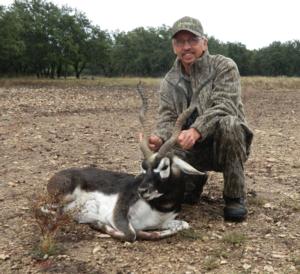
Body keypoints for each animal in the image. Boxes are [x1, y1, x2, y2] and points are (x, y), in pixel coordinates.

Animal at [45, 76, 213, 241]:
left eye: (164, 166)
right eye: (143, 167)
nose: (142, 190)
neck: (159, 207)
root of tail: (57, 175)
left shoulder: (165, 222)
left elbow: (182, 225)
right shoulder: (118, 213)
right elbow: (132, 234)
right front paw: (99, 224)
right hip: (61, 199)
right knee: (50, 209)